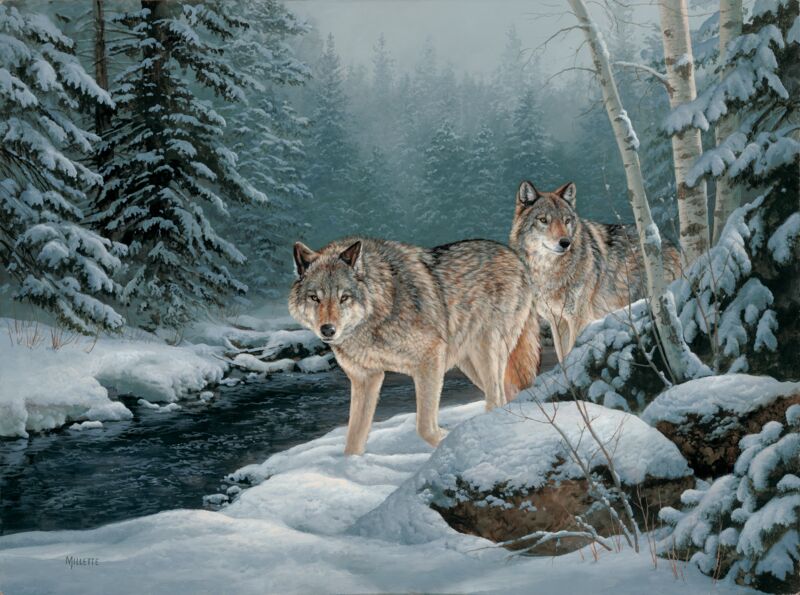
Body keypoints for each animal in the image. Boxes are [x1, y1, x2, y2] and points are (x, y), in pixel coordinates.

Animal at [289, 237, 540, 455]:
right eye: (314, 298)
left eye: (344, 298)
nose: (328, 330)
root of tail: (514, 256)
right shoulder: (366, 378)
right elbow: (354, 440)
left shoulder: (430, 358)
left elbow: (424, 427)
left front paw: (445, 438)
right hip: (470, 365)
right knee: (506, 394)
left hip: (485, 352)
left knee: (496, 398)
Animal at [509, 181, 681, 362]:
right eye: (543, 220)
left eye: (566, 220)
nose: (565, 243)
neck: (549, 272)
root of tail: (669, 243)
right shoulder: (558, 321)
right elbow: (563, 358)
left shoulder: (579, 319)